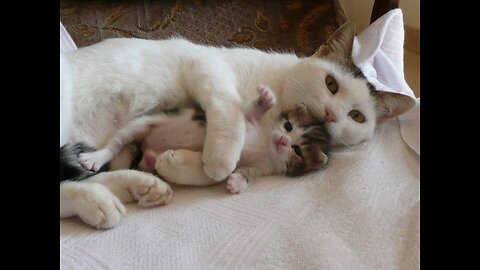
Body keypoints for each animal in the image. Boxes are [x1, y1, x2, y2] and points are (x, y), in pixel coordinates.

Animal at [79, 85, 332, 193]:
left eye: (297, 150)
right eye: (288, 126)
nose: (281, 140)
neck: (265, 146)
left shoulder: (263, 167)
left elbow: (248, 173)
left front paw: (237, 182)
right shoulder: (246, 120)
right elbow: (251, 110)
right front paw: (266, 99)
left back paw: (151, 160)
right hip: (142, 124)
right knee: (116, 143)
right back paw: (95, 158)